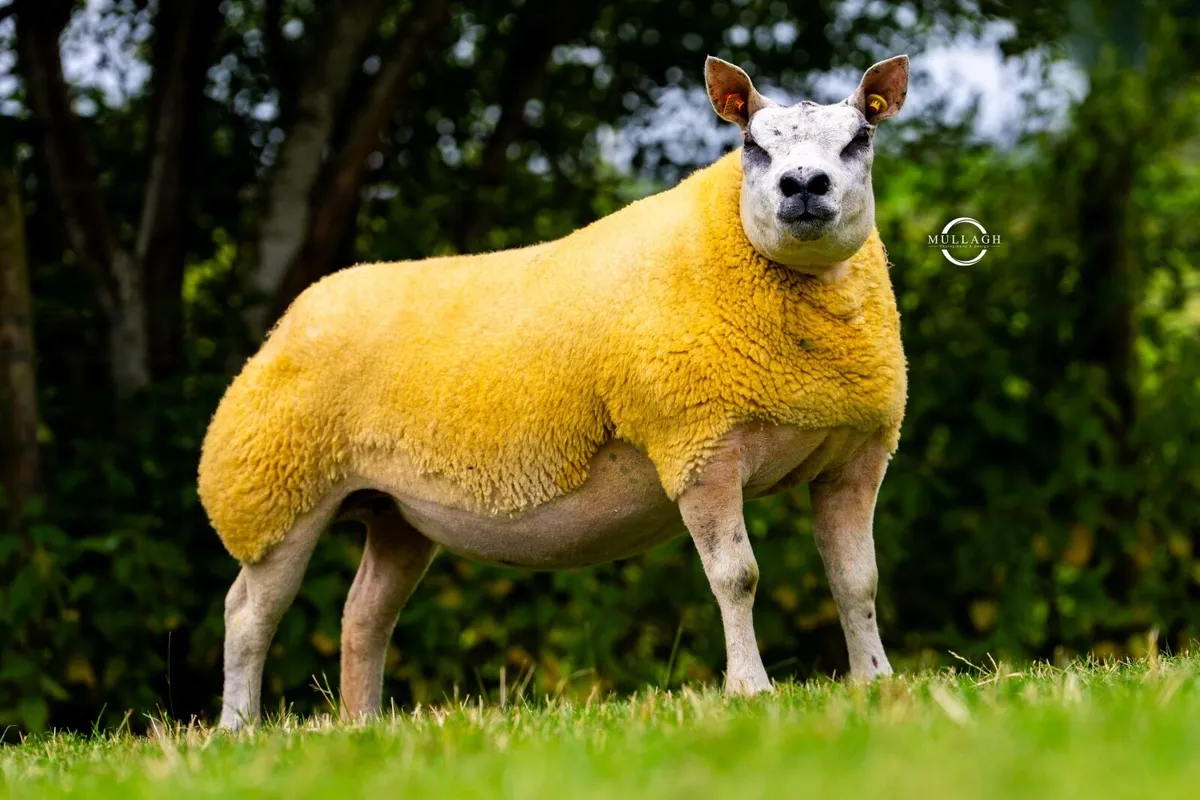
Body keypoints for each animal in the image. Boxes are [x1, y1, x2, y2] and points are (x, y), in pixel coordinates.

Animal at [199, 54, 911, 730]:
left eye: (860, 137)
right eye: (752, 145)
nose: (803, 185)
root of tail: (301, 308)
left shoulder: (857, 457)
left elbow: (858, 580)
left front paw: (877, 683)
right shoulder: (699, 447)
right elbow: (737, 577)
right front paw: (750, 691)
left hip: (392, 511)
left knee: (363, 615)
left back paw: (363, 722)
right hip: (273, 489)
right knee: (248, 613)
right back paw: (238, 728)